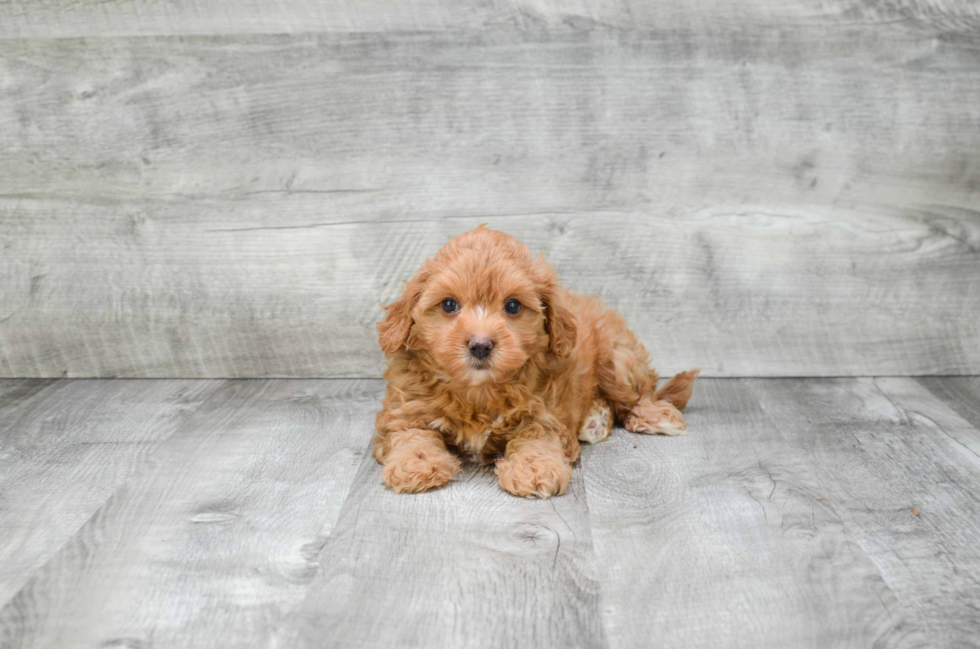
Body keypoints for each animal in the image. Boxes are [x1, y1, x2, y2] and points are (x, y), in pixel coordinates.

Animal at [374, 225, 696, 498]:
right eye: (449, 305)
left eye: (513, 306)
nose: (480, 345)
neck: (479, 391)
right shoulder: (405, 409)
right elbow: (411, 434)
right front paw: (416, 463)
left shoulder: (546, 411)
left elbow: (538, 436)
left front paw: (534, 468)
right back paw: (595, 419)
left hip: (617, 360)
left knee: (640, 392)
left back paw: (654, 416)